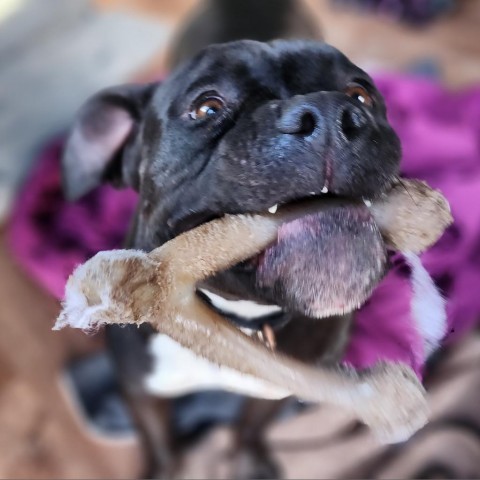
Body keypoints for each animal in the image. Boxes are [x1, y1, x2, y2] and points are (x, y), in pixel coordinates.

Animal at [62, 37, 402, 476]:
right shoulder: (140, 390)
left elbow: (249, 428)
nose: (327, 112)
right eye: (208, 108)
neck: (233, 317)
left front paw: (247, 463)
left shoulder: (279, 390)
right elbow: (162, 443)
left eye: (360, 94)